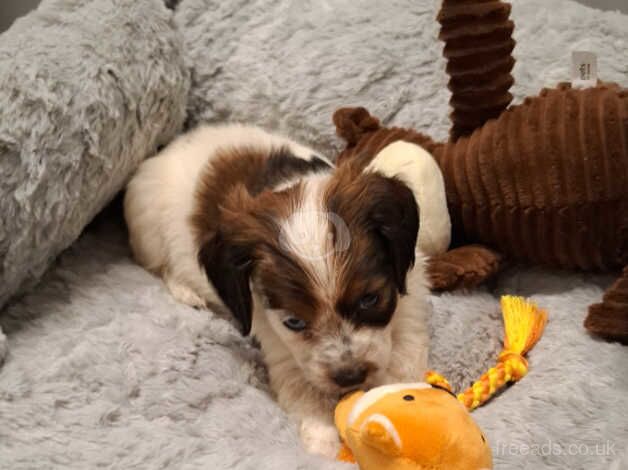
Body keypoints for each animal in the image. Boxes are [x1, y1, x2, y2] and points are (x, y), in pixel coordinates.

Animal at [124, 124, 426, 456]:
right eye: (294, 322)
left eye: (370, 299)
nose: (350, 376)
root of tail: (167, 148)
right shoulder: (280, 346)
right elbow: (305, 393)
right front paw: (324, 446)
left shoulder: (410, 299)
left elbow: (405, 357)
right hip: (148, 231)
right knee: (160, 266)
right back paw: (187, 292)